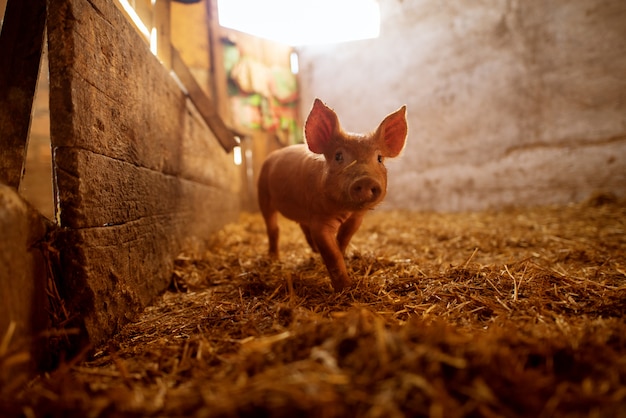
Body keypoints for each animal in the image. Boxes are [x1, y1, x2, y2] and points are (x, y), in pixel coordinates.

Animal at [256, 99, 408, 292]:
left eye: (379, 158)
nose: (365, 179)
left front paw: (342, 256)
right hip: (263, 194)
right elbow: (331, 253)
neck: (344, 210)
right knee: (273, 228)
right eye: (338, 156)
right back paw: (274, 258)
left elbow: (343, 239)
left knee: (302, 225)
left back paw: (313, 250)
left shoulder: (356, 218)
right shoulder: (320, 220)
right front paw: (345, 288)